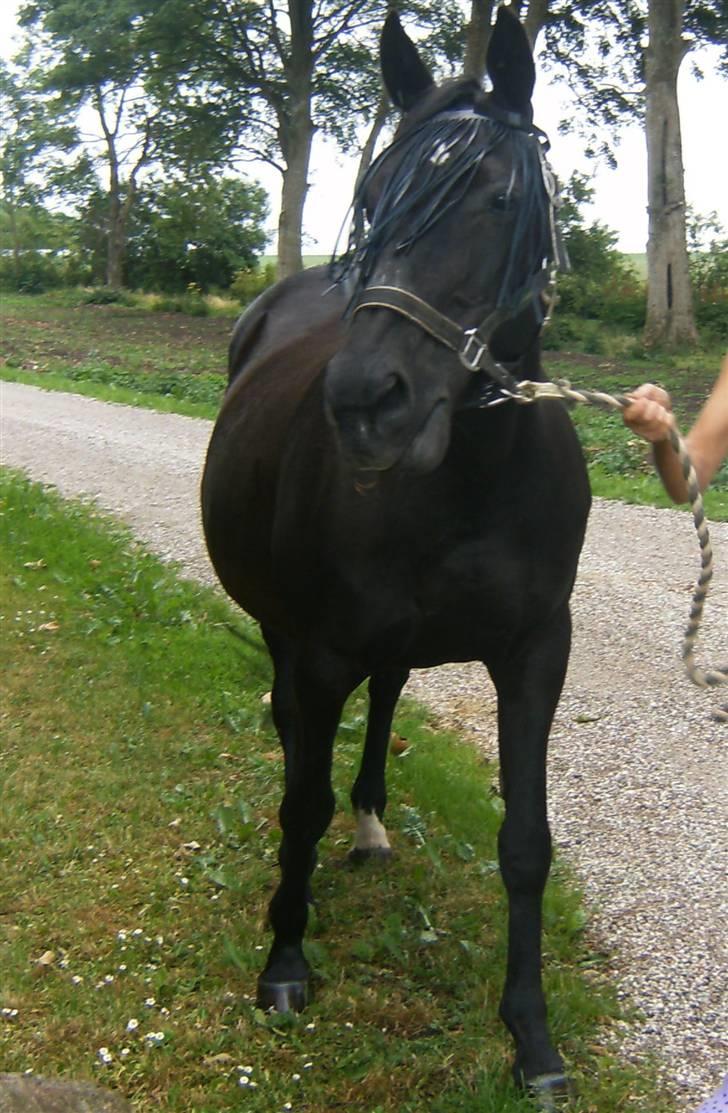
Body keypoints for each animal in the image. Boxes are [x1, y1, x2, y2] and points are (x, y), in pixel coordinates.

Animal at [201, 8, 592, 1104]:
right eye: (372, 197)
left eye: (499, 198)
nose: (366, 402)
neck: (473, 479)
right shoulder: (321, 646)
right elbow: (301, 802)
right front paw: (284, 961)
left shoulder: (536, 654)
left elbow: (526, 843)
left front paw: (532, 1038)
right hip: (284, 626)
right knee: (299, 725)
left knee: (384, 699)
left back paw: (374, 821)